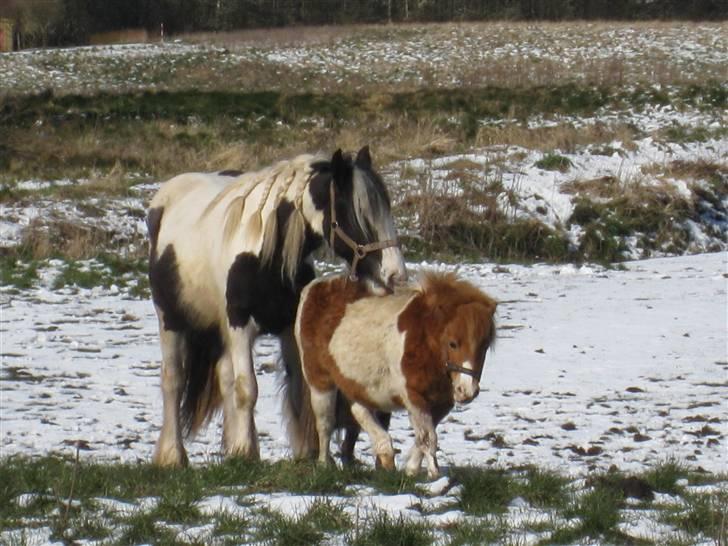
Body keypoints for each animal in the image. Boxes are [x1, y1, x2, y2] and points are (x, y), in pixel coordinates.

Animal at [145, 147, 406, 466]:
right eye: (357, 213)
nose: (395, 274)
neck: (265, 254)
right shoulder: (239, 325)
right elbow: (247, 389)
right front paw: (247, 452)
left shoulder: (288, 327)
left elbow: (296, 390)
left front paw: (303, 454)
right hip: (170, 320)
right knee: (173, 380)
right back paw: (173, 455)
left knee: (225, 377)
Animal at [294, 270, 494, 476]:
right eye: (453, 343)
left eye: (485, 345)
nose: (467, 391)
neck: (423, 341)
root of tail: (316, 285)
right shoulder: (413, 398)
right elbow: (428, 437)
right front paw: (434, 474)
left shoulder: (442, 403)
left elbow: (423, 438)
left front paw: (412, 470)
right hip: (320, 383)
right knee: (325, 424)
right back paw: (325, 463)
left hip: (357, 384)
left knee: (359, 411)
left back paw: (384, 453)